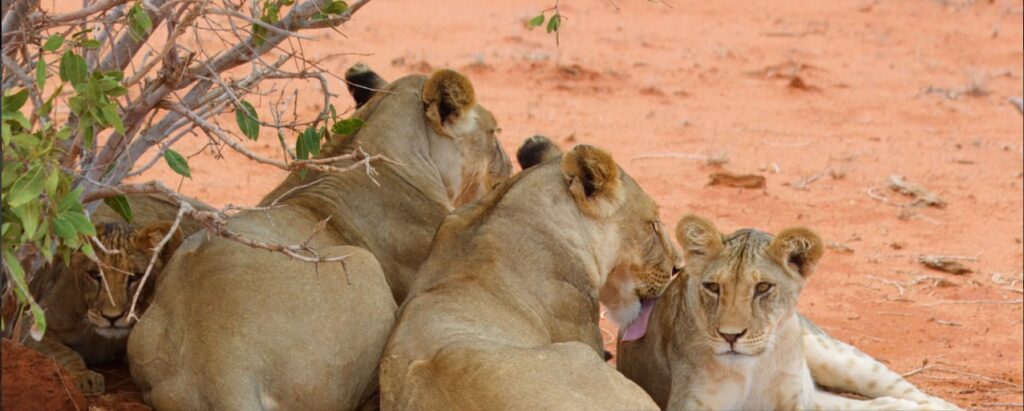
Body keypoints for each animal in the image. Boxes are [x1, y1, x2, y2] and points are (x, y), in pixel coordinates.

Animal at [23, 193, 210, 394]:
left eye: (135, 277)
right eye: (95, 274)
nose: (112, 318)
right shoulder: (30, 329)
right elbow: (63, 353)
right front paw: (85, 378)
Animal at [614, 215, 961, 410]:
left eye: (763, 287)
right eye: (713, 287)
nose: (730, 336)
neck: (753, 367)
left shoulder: (792, 401)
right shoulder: (690, 402)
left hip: (836, 356)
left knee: (917, 394)